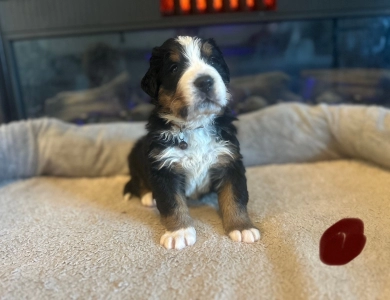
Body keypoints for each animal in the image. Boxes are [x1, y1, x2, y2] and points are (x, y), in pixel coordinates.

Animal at [123, 36, 260, 250]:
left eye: (212, 60)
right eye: (174, 68)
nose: (205, 81)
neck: (195, 126)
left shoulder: (229, 160)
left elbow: (235, 196)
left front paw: (241, 227)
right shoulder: (164, 167)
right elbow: (172, 203)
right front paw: (179, 232)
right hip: (137, 157)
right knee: (137, 181)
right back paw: (147, 196)